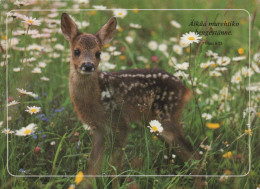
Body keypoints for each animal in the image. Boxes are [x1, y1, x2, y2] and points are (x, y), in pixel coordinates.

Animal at [61, 12, 203, 188]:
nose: (88, 65)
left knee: (194, 155)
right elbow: (92, 167)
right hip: (156, 123)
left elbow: (115, 166)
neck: (96, 97)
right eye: (76, 51)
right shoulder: (98, 128)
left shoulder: (121, 122)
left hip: (167, 117)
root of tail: (185, 89)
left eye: (98, 53)